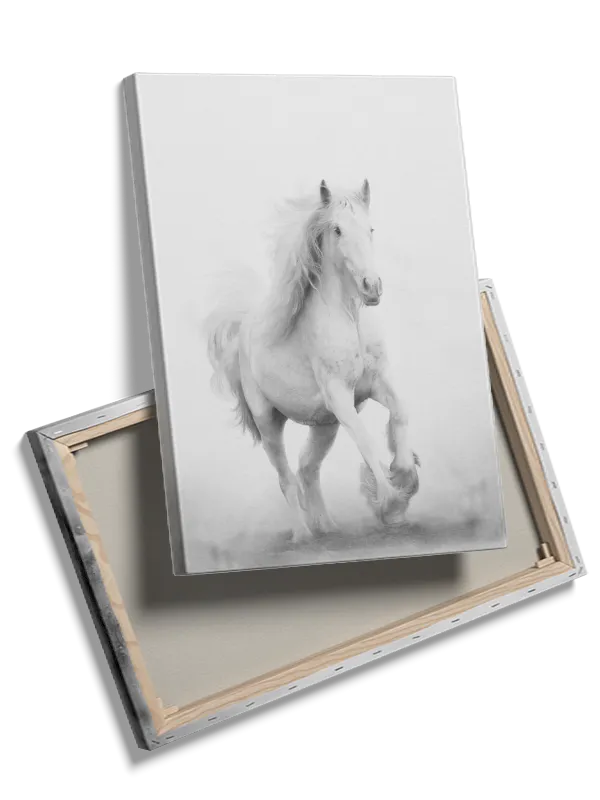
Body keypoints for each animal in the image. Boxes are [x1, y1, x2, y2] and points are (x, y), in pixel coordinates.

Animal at [204, 179, 420, 543]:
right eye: (337, 229)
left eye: (371, 228)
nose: (372, 287)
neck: (349, 320)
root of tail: (243, 332)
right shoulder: (340, 397)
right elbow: (365, 441)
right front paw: (391, 504)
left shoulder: (374, 384)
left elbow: (401, 412)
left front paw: (404, 473)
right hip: (269, 424)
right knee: (287, 478)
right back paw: (303, 535)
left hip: (324, 426)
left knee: (307, 468)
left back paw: (329, 528)